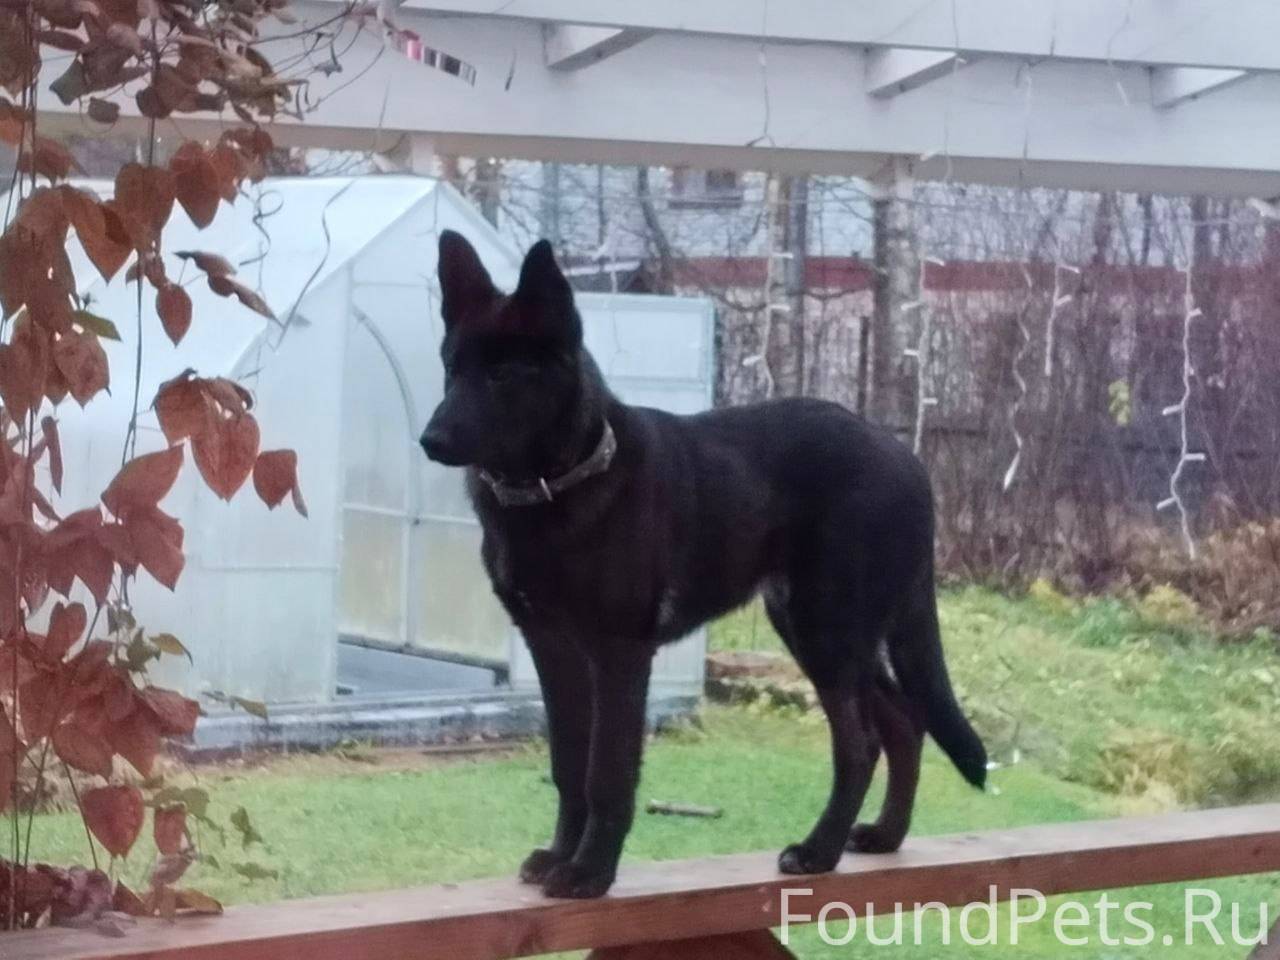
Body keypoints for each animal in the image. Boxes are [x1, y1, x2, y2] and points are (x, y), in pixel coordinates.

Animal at [421, 230, 987, 899]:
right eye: (453, 368)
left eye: (504, 375)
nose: (429, 441)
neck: (559, 482)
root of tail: (908, 461)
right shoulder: (552, 649)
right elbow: (568, 765)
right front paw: (561, 855)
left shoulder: (619, 654)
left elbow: (607, 772)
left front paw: (590, 872)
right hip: (820, 631)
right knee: (904, 722)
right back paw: (884, 836)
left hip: (827, 631)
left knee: (861, 743)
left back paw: (818, 851)